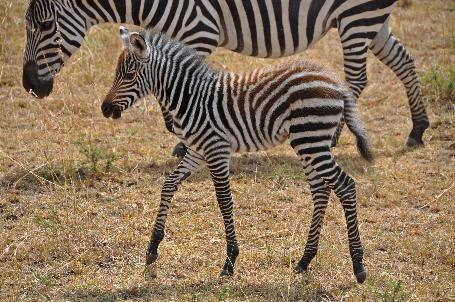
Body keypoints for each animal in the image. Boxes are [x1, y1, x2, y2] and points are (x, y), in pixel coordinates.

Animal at [24, 0, 432, 148]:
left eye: (44, 26)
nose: (29, 85)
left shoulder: (198, 30)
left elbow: (188, 87)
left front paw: (182, 139)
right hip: (371, 21)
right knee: (405, 62)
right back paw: (417, 128)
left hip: (356, 18)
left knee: (358, 80)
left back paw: (333, 136)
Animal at [102, 26, 374, 284]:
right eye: (117, 73)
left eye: (128, 75)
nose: (105, 109)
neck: (190, 98)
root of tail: (336, 82)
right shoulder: (197, 152)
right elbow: (169, 185)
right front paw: (152, 249)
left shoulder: (216, 149)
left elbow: (224, 201)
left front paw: (230, 261)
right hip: (310, 142)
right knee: (321, 190)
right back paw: (305, 260)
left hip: (310, 139)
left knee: (345, 186)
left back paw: (358, 266)